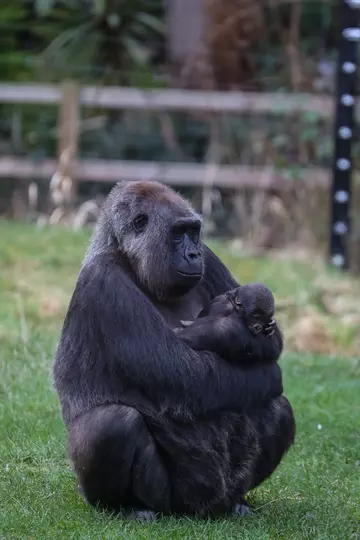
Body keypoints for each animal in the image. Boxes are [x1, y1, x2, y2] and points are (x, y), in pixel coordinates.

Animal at [53, 180, 296, 520]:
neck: (132, 261)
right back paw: (129, 507)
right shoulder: (104, 283)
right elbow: (183, 375)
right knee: (111, 423)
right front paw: (230, 331)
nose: (193, 253)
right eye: (178, 233)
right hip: (170, 502)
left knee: (277, 405)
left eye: (195, 232)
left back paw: (238, 502)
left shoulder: (211, 258)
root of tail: (202, 512)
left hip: (220, 494)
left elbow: (270, 346)